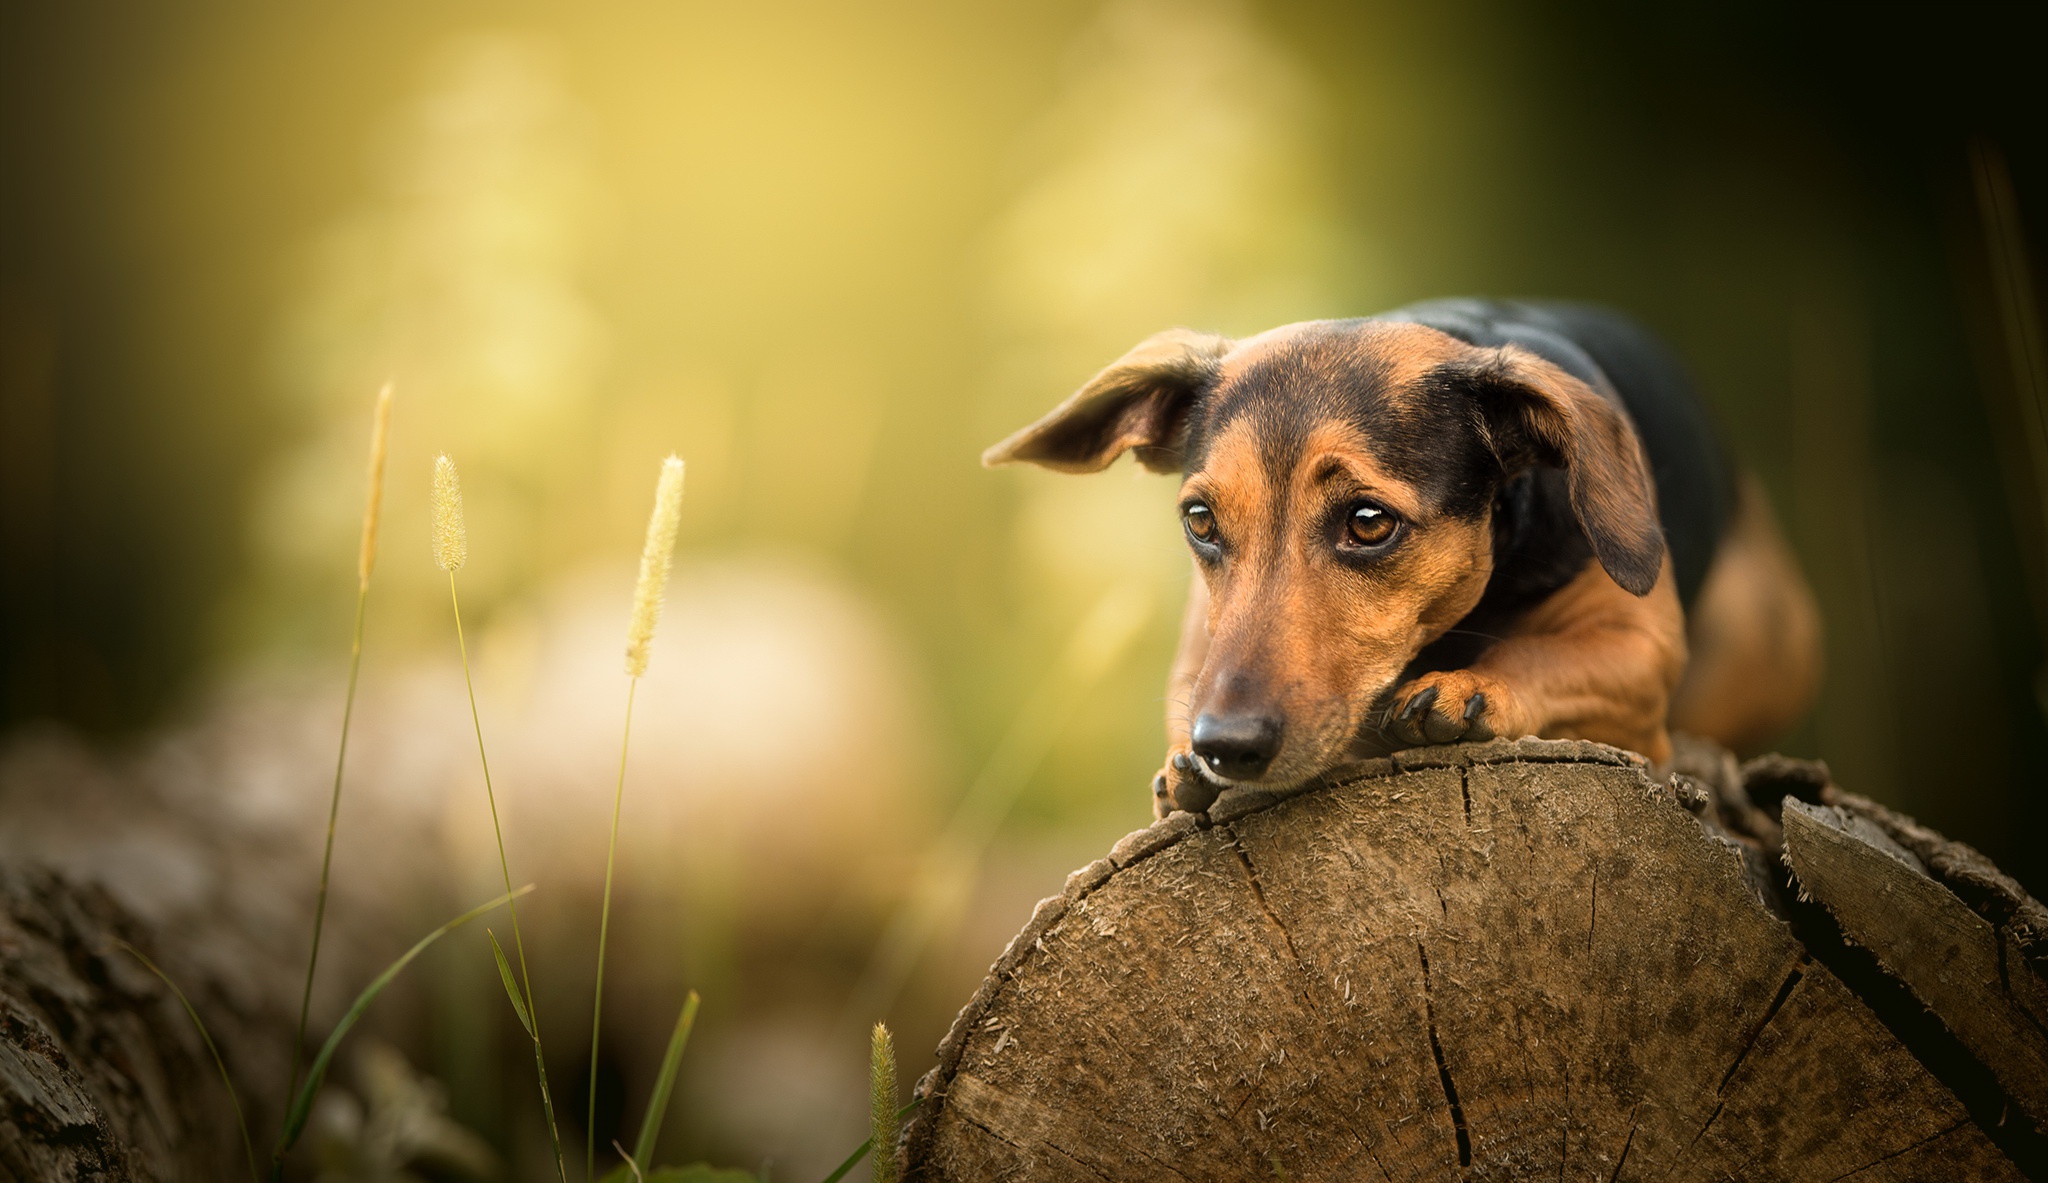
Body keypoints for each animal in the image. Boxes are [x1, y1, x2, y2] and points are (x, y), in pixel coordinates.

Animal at [983, 296, 1818, 810]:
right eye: (1200, 520)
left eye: (1368, 521)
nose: (1224, 746)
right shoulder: (1198, 656)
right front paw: (1180, 767)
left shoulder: (1642, 650)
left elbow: (1541, 655)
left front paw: (1467, 690)